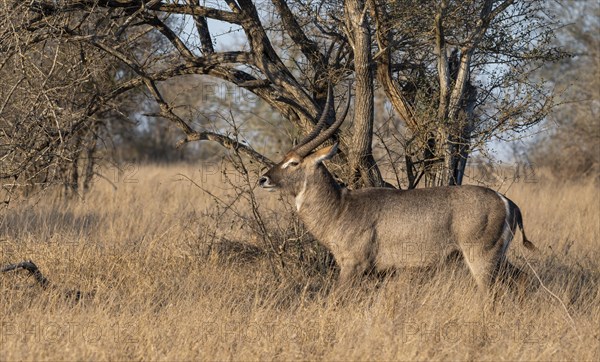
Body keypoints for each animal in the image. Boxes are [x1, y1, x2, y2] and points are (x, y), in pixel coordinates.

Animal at [260, 86, 536, 292]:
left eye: (293, 162)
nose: (263, 179)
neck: (340, 208)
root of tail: (507, 201)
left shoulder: (353, 265)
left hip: (482, 257)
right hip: (497, 257)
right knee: (522, 280)